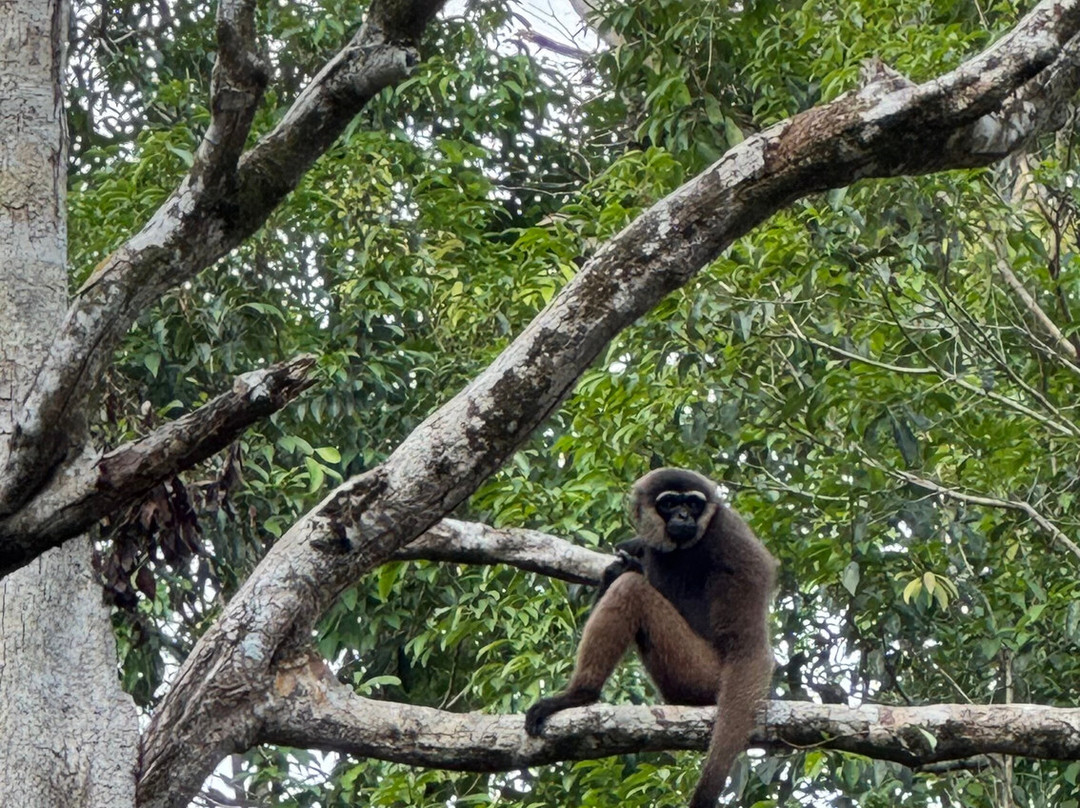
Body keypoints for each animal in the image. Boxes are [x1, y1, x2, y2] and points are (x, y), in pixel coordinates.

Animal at [524, 468, 777, 808]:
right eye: (670, 503)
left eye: (692, 504)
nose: (684, 516)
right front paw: (622, 565)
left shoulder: (730, 538)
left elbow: (748, 650)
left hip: (700, 674)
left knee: (632, 588)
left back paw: (580, 695)